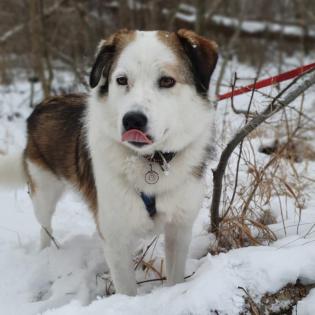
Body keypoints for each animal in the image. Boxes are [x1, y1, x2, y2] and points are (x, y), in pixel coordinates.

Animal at [0, 29, 217, 296]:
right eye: (122, 80)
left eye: (167, 81)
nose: (133, 120)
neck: (149, 161)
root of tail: (41, 105)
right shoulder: (115, 237)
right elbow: (126, 289)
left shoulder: (180, 228)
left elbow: (176, 277)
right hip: (43, 193)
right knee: (44, 226)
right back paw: (46, 253)